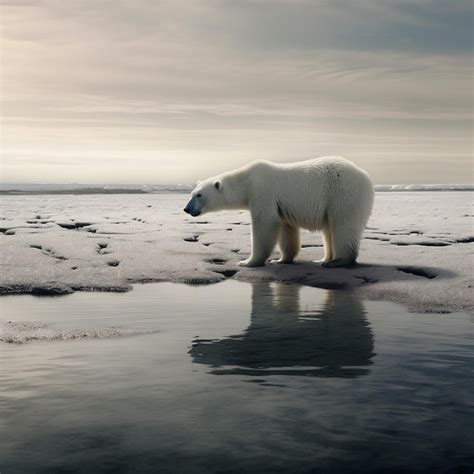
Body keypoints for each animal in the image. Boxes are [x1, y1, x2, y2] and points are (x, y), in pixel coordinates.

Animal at [184, 156, 374, 266]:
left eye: (199, 195)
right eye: (192, 193)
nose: (186, 209)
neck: (246, 181)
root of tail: (366, 176)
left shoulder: (262, 192)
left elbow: (265, 223)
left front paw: (247, 261)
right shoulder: (281, 205)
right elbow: (286, 229)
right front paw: (281, 259)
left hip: (342, 192)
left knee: (343, 224)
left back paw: (339, 261)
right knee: (329, 229)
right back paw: (324, 258)